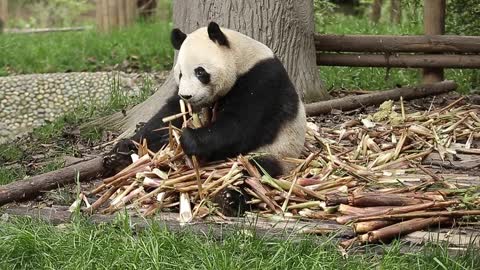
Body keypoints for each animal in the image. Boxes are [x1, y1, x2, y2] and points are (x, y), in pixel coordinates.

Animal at [112, 22, 306, 211]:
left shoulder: (263, 81)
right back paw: (118, 161)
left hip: (279, 151)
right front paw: (127, 144)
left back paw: (229, 198)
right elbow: (170, 114)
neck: (242, 59)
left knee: (254, 171)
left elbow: (242, 126)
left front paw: (189, 138)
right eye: (180, 74)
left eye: (200, 72)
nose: (187, 95)